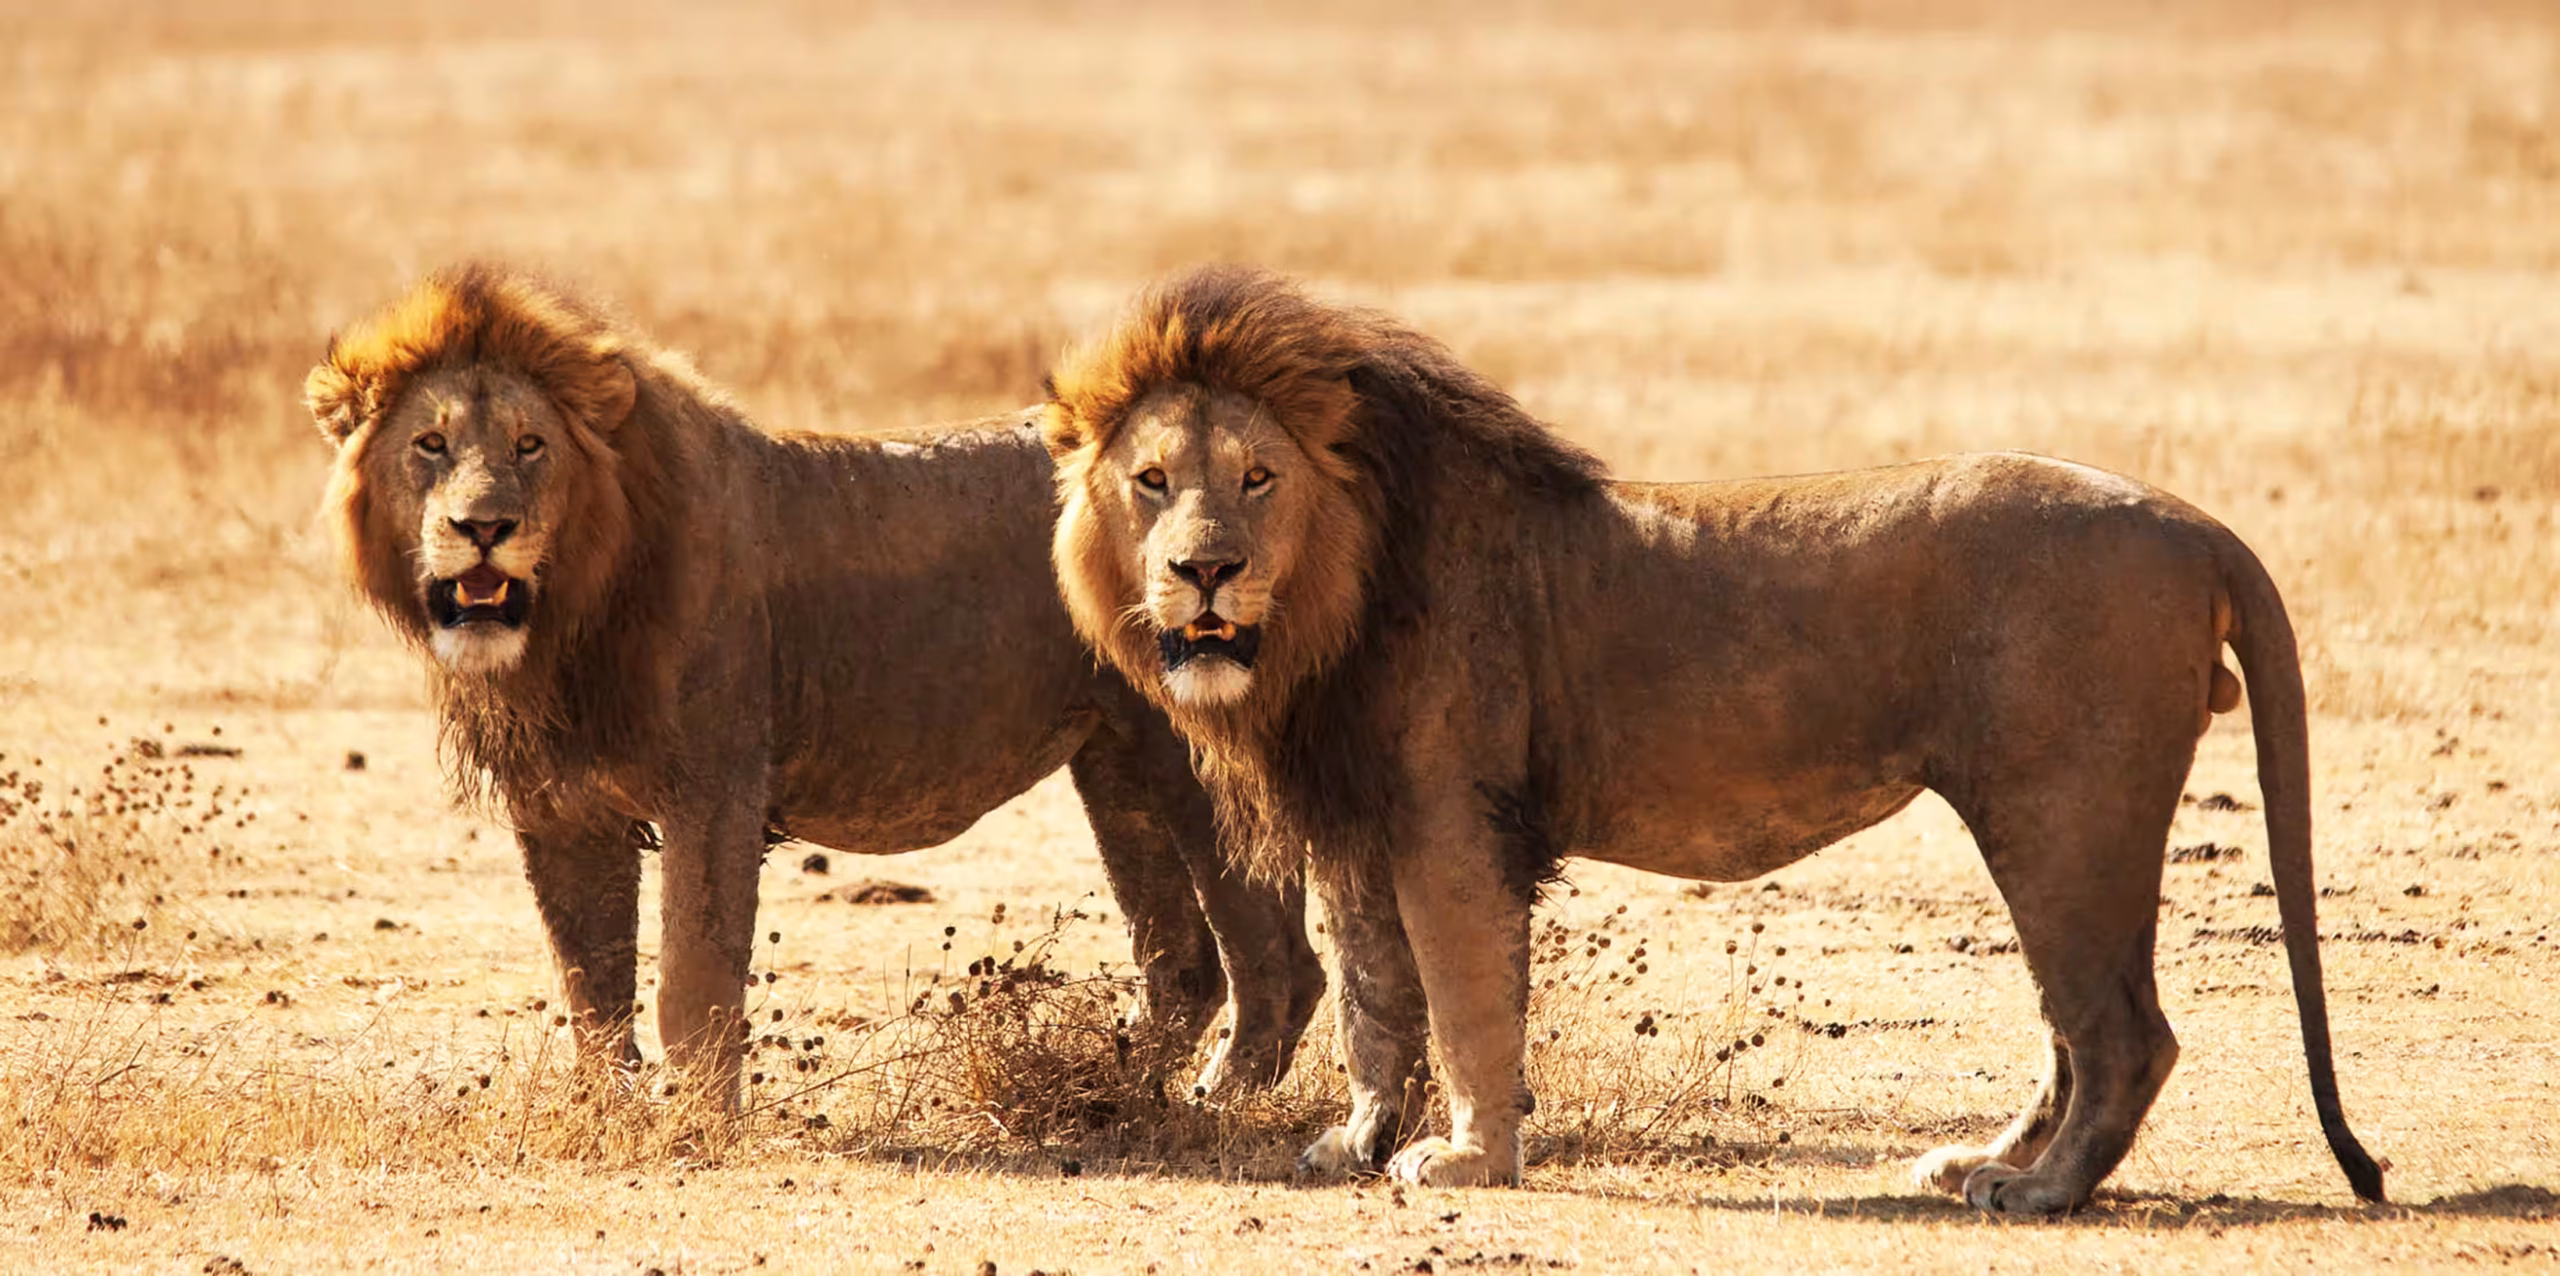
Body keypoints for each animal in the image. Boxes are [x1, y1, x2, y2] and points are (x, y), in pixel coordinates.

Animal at [305, 264, 1321, 1107]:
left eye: (528, 446)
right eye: (430, 444)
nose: (484, 527)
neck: (568, 615)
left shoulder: (714, 789)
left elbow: (691, 980)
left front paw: (698, 1126)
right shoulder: (561, 810)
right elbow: (589, 984)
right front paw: (605, 1116)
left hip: (1194, 764)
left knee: (1276, 963)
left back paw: (1214, 1109)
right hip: (1116, 763)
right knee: (1185, 964)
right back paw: (1103, 1094)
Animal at [1040, 265, 2386, 1214]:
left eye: (1257, 479)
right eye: (1153, 481)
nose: (1204, 571)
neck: (1334, 599)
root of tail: (2191, 521)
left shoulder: (1448, 819)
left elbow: (1465, 996)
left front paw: (1468, 1159)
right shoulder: (1361, 826)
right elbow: (1377, 998)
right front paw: (1359, 1142)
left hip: (2064, 811)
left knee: (2120, 1031)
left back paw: (2038, 1190)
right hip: (2046, 822)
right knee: (2073, 1026)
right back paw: (1976, 1162)